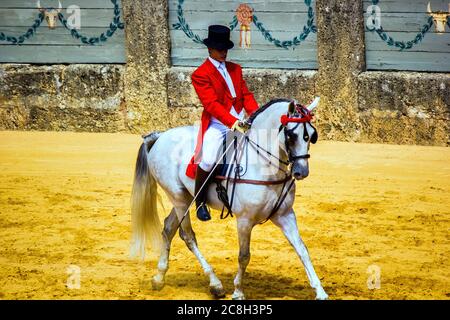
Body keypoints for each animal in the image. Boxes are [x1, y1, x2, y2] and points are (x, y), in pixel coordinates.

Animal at [129, 97, 326, 300]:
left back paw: (159, 277)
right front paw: (238, 291)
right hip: (179, 199)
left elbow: (302, 249)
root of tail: (160, 137)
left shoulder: (285, 215)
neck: (265, 167)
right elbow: (244, 256)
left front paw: (320, 291)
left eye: (312, 135)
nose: (301, 171)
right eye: (291, 135)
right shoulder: (245, 220)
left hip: (185, 198)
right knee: (188, 236)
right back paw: (215, 283)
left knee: (168, 228)